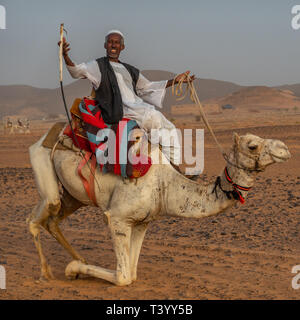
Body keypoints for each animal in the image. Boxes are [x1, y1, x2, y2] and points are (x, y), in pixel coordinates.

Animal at [28, 131, 290, 286]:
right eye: (253, 146)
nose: (285, 149)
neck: (165, 185)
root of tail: (44, 137)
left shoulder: (142, 221)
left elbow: (132, 272)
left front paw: (76, 268)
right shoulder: (117, 218)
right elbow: (123, 277)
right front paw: (72, 269)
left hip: (75, 196)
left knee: (52, 220)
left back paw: (76, 259)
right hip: (41, 162)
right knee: (37, 217)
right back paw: (45, 273)